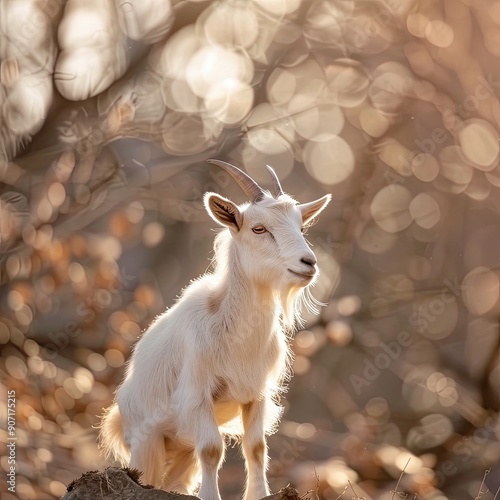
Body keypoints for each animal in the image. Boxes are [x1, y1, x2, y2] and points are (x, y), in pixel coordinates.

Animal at [99, 161, 330, 500]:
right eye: (258, 228)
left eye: (301, 227)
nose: (308, 263)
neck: (235, 335)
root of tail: (119, 417)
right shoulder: (198, 394)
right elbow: (211, 449)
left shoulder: (256, 394)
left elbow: (256, 447)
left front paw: (259, 493)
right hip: (146, 444)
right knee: (150, 476)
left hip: (181, 453)